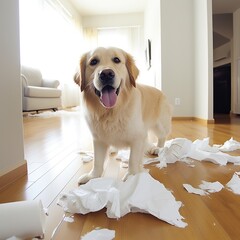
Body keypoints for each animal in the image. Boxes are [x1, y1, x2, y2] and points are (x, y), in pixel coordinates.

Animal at [74, 47, 172, 185]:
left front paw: (131, 177)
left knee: (162, 137)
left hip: (160, 125)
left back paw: (158, 148)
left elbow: (133, 160)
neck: (112, 111)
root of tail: (160, 91)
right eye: (93, 61)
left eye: (116, 60)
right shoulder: (98, 139)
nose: (106, 74)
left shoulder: (138, 137)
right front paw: (92, 176)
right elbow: (97, 161)